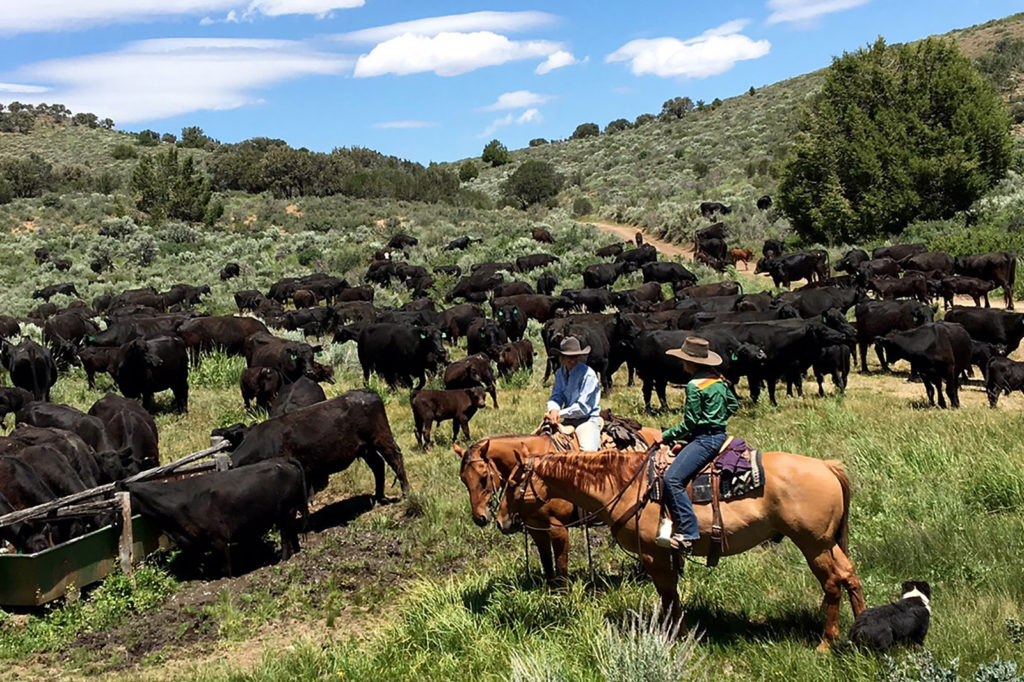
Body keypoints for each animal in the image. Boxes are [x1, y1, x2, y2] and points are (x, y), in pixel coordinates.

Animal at [128, 459, 307, 576]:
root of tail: (284, 462)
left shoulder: (218, 538)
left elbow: (226, 568)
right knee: (293, 534)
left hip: (285, 513)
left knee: (286, 538)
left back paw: (283, 560)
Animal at [230, 390, 409, 501]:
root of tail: (369, 392)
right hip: (365, 448)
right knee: (378, 465)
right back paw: (379, 496)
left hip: (381, 439)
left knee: (395, 460)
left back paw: (406, 493)